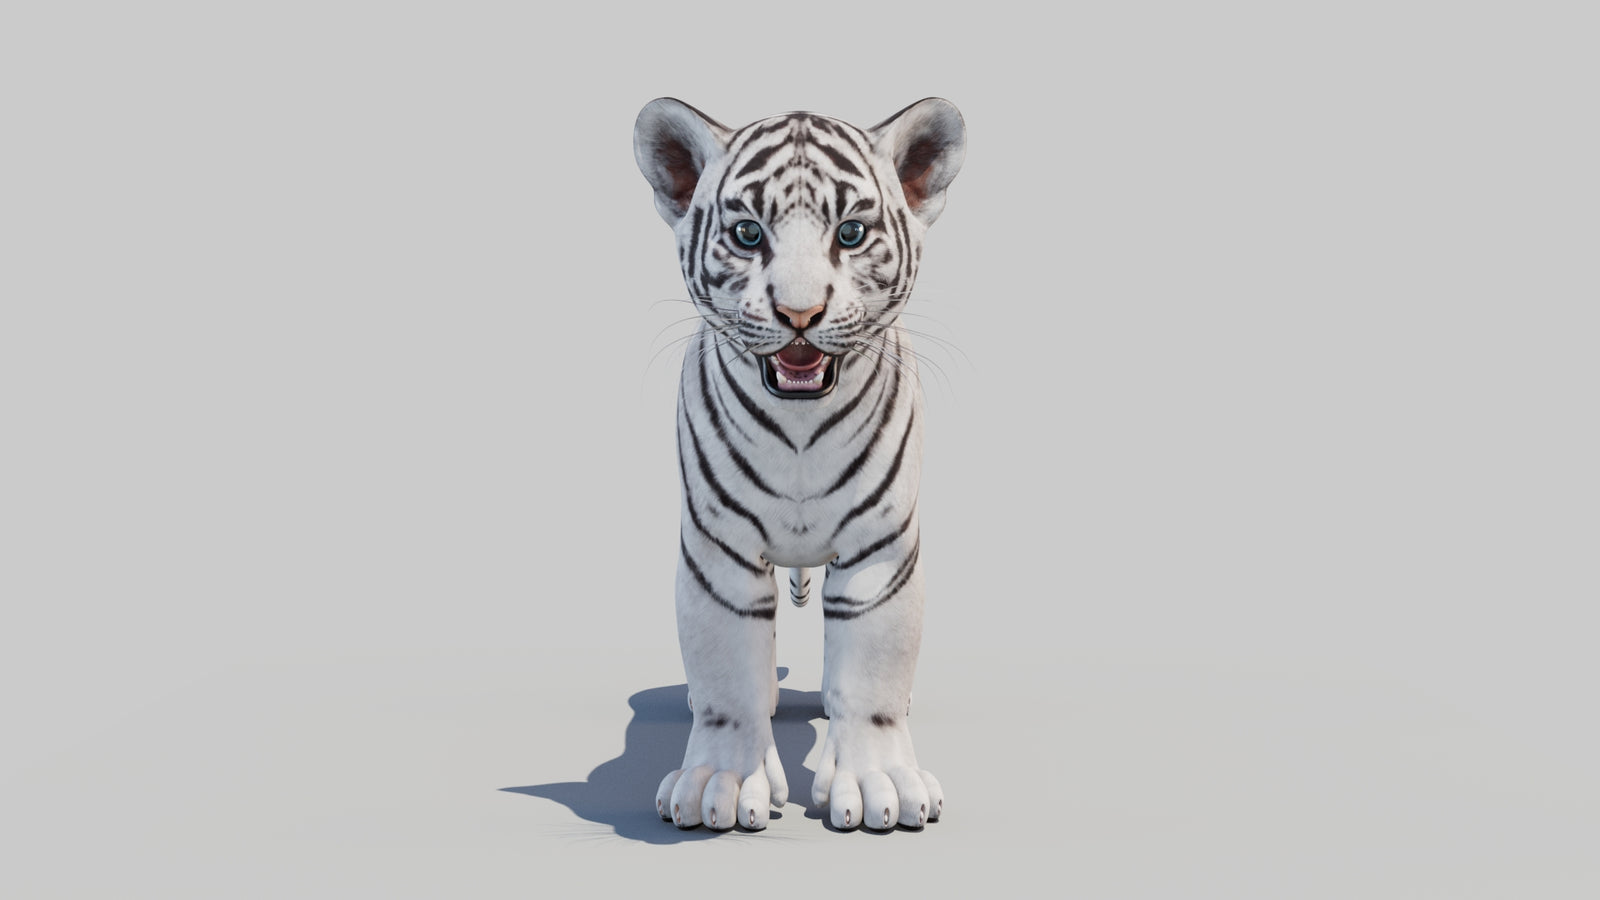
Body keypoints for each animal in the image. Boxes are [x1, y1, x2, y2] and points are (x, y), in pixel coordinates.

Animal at [633, 97, 965, 832]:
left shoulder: (879, 552)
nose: (799, 313)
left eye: (852, 232)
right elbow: (729, 678)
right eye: (748, 234)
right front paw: (721, 784)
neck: (800, 428)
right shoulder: (719, 554)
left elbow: (870, 674)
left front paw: (878, 784)